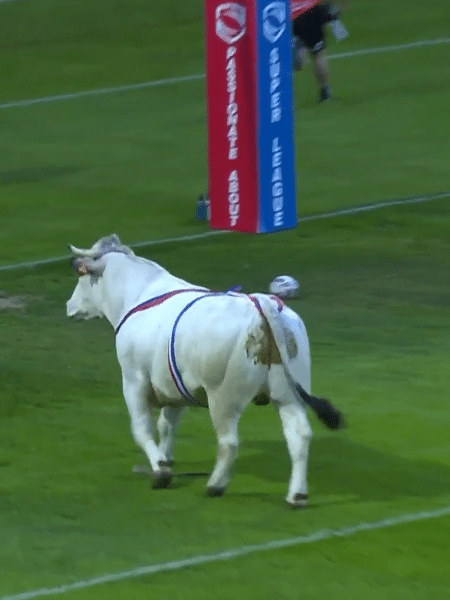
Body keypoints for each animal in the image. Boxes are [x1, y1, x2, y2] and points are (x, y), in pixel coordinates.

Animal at [66, 234, 344, 506]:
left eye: (81, 275)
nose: (69, 305)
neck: (139, 292)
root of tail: (260, 303)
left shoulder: (134, 379)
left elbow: (142, 429)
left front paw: (160, 471)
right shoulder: (172, 385)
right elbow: (166, 425)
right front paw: (166, 458)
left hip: (223, 397)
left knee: (229, 443)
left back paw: (215, 485)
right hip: (288, 393)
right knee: (299, 435)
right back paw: (296, 495)